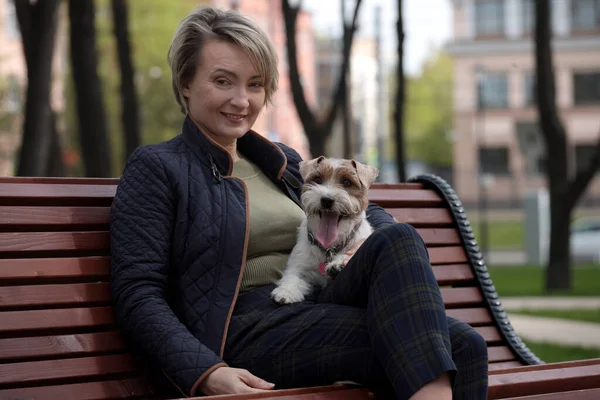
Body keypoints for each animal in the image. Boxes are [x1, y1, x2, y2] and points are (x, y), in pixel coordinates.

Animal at [272, 155, 380, 304]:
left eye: (347, 182)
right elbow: (293, 276)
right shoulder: (299, 264)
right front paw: (287, 291)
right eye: (317, 180)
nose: (327, 200)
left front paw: (338, 263)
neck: (329, 246)